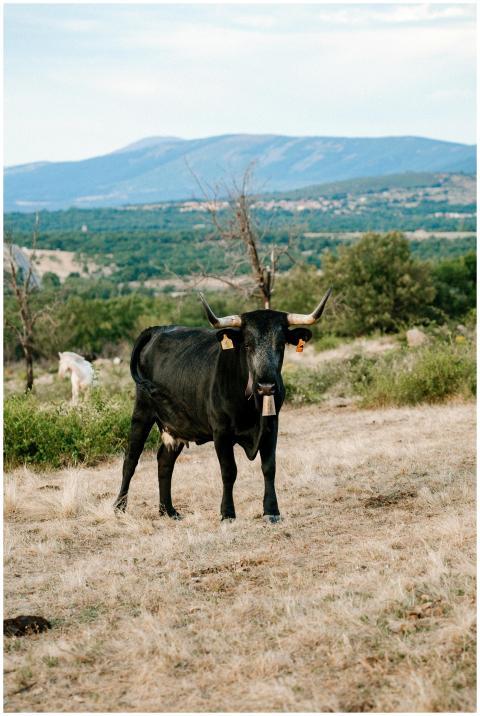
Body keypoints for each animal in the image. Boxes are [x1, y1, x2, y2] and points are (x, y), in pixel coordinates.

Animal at [113, 289, 332, 522]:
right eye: (247, 345)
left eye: (281, 344)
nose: (266, 386)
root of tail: (157, 329)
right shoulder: (221, 432)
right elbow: (229, 471)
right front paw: (227, 512)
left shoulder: (272, 426)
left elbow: (269, 467)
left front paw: (272, 510)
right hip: (142, 412)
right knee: (131, 459)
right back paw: (119, 507)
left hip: (176, 426)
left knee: (165, 461)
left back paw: (168, 511)